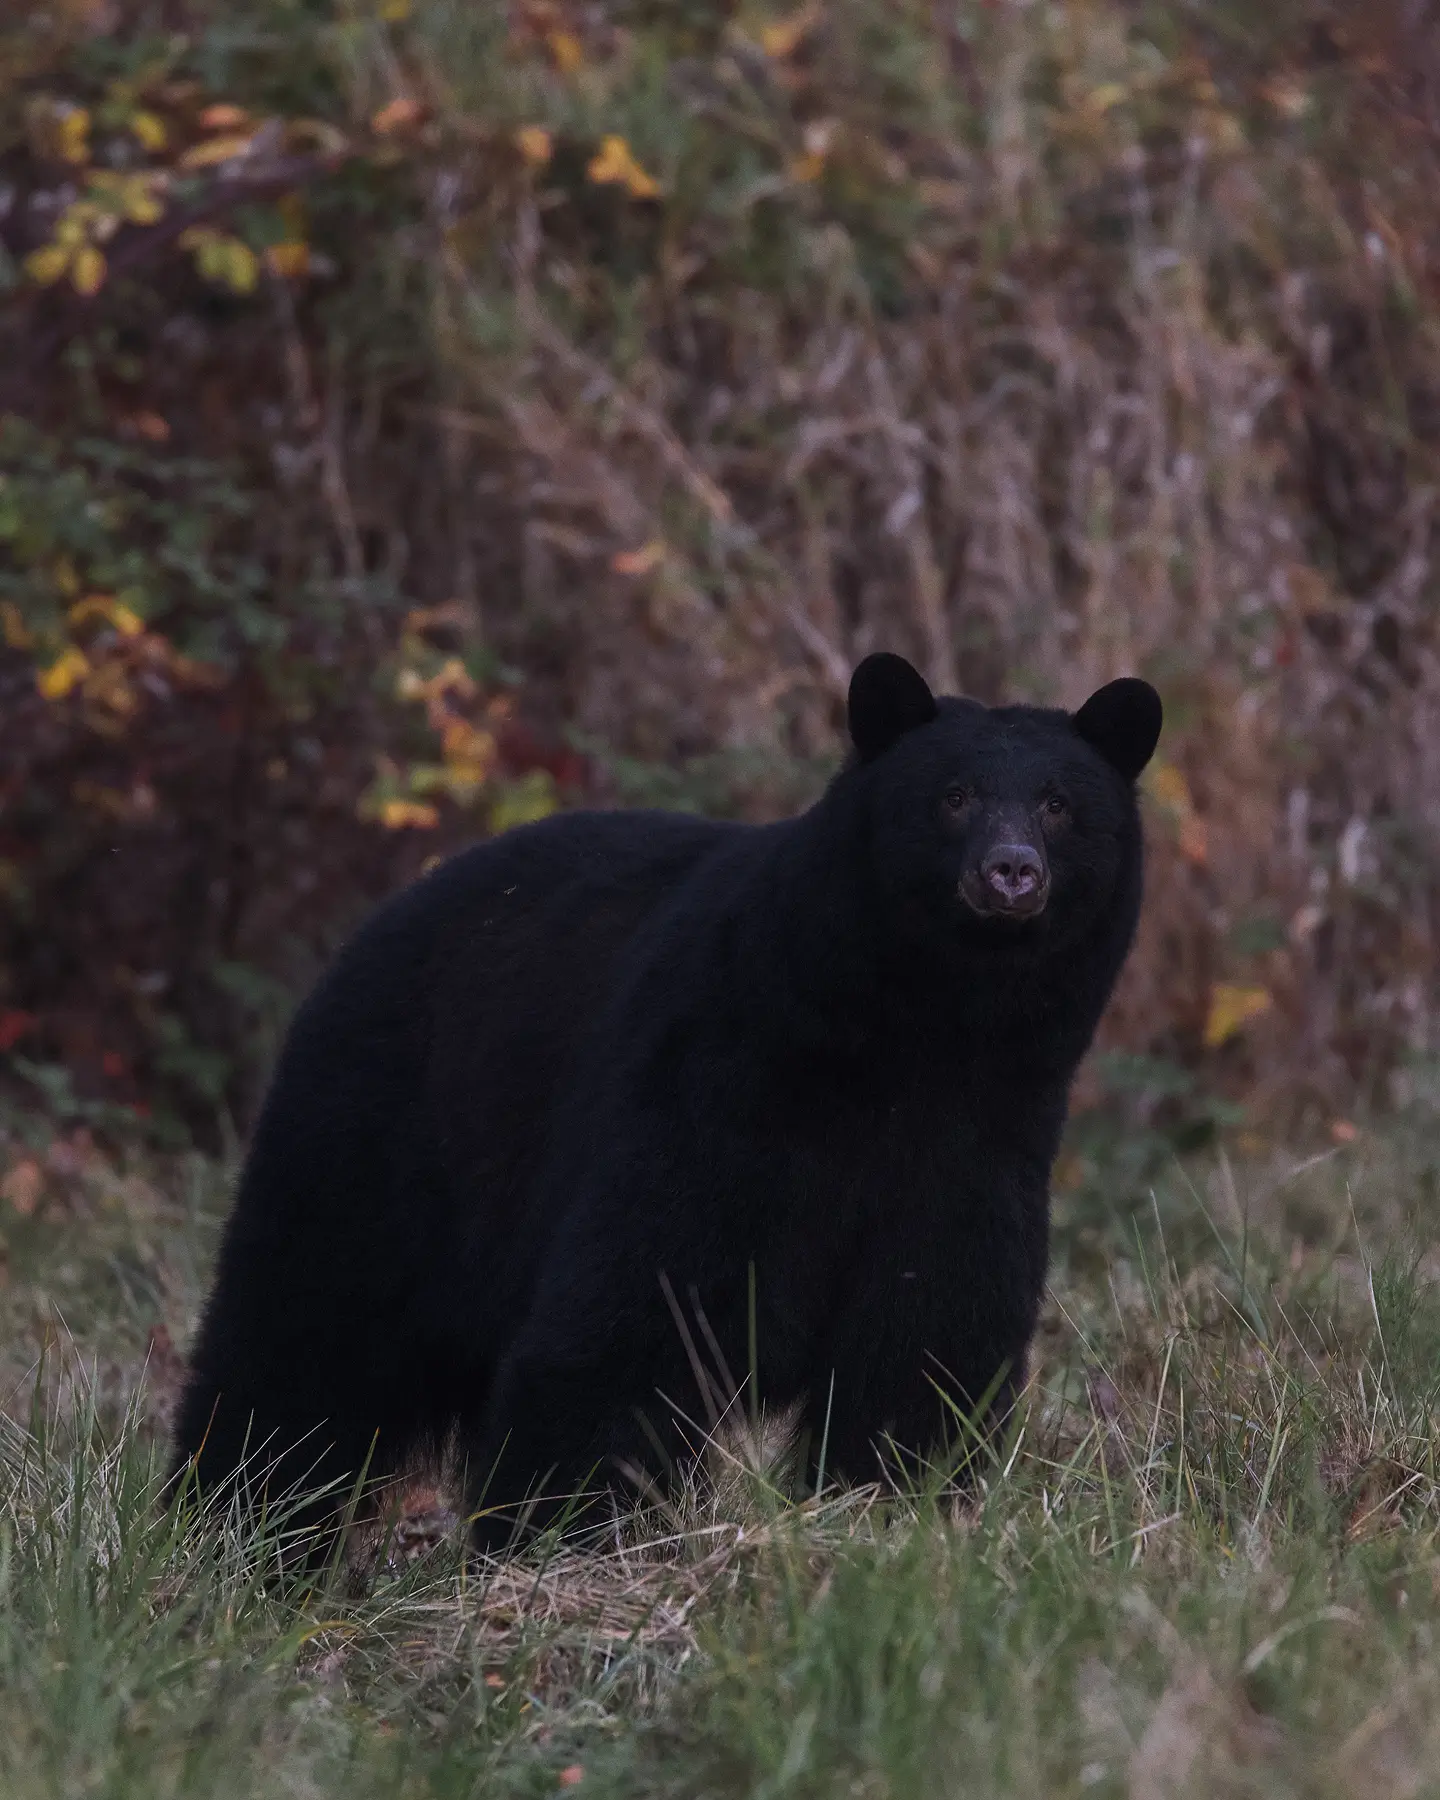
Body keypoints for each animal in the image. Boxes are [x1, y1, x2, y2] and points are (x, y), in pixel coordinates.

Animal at [171, 653, 1161, 1550]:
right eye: (954, 796)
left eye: (1060, 805)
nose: (1011, 873)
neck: (914, 1038)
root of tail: (375, 925)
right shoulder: (715, 1089)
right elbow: (632, 1318)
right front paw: (565, 1539)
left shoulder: (980, 1141)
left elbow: (928, 1347)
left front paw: (894, 1512)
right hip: (380, 1136)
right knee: (301, 1341)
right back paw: (235, 1529)